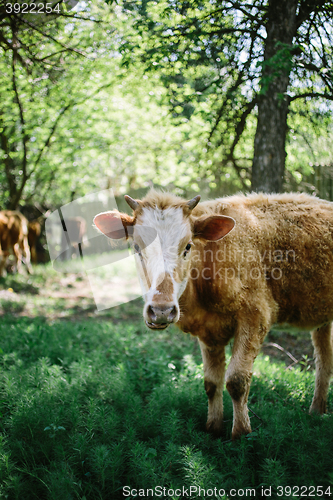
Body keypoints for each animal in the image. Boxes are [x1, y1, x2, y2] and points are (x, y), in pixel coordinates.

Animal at [93, 191, 333, 442]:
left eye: (188, 246)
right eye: (137, 247)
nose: (161, 310)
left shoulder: (256, 315)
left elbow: (236, 379)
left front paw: (241, 435)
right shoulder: (208, 330)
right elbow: (211, 382)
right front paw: (213, 428)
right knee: (324, 360)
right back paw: (317, 411)